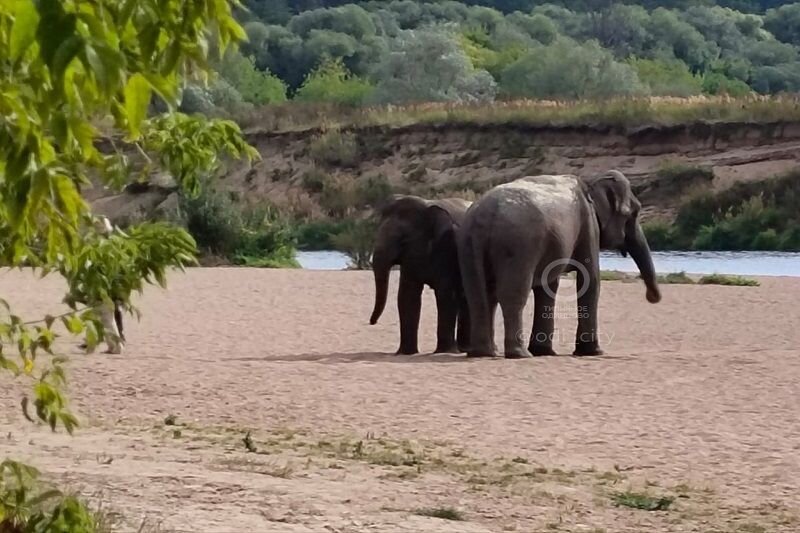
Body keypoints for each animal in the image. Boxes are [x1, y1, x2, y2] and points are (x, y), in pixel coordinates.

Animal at [370, 194, 472, 354]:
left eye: (403, 240)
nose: (372, 322)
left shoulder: (447, 246)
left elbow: (446, 295)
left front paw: (443, 352)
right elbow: (407, 295)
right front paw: (405, 353)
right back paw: (463, 348)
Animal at [460, 170, 660, 358]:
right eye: (633, 213)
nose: (651, 297)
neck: (589, 182)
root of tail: (485, 215)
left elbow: (548, 286)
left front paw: (544, 351)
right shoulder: (588, 226)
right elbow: (590, 280)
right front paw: (593, 352)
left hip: (469, 242)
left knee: (478, 294)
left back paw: (483, 353)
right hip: (518, 245)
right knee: (512, 294)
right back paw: (519, 354)